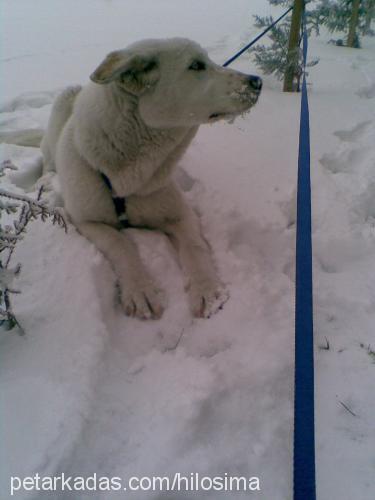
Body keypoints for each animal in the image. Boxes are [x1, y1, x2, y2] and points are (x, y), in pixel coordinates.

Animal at [5, 39, 262, 320]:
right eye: (196, 65)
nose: (257, 81)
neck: (129, 175)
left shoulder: (181, 214)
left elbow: (195, 246)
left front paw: (207, 290)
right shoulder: (85, 220)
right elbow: (121, 243)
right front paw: (141, 290)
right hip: (63, 105)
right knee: (48, 160)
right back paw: (46, 181)